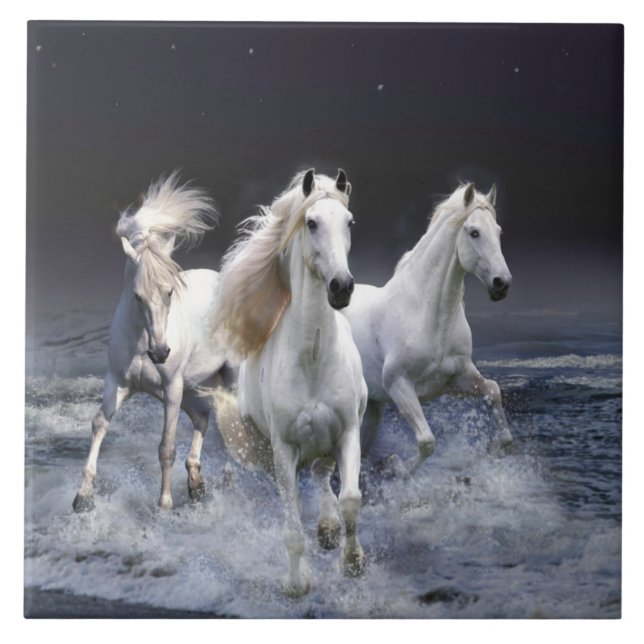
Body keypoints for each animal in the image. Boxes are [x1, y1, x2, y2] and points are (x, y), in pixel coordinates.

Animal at [73, 172, 234, 513]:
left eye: (170, 291)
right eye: (137, 295)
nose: (160, 353)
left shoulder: (171, 389)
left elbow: (166, 447)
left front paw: (164, 506)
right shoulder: (118, 382)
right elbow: (99, 424)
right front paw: (82, 497)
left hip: (226, 379)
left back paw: (226, 480)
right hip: (193, 388)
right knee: (202, 418)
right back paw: (196, 484)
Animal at [213, 169, 367, 597]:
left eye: (349, 223)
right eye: (311, 223)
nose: (341, 287)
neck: (312, 359)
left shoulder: (348, 431)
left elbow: (350, 499)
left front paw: (353, 563)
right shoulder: (284, 450)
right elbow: (292, 527)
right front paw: (297, 584)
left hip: (327, 442)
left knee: (322, 476)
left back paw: (329, 530)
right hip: (271, 452)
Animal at [343, 182, 513, 475]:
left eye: (499, 231)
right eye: (474, 232)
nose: (501, 283)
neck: (428, 316)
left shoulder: (457, 378)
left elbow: (493, 390)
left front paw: (498, 447)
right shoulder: (399, 385)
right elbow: (427, 441)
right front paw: (396, 466)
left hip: (372, 407)